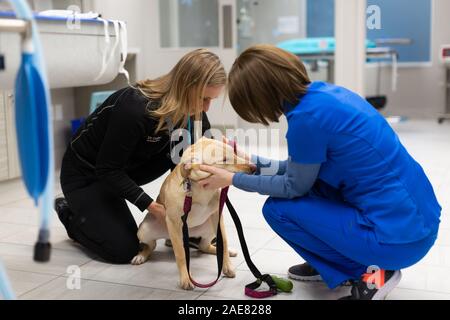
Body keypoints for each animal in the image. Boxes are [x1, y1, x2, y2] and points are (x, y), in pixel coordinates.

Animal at [132, 137, 255, 290]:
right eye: (224, 159)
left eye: (234, 151)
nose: (254, 168)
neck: (200, 188)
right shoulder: (173, 222)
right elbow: (180, 254)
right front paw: (186, 279)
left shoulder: (217, 215)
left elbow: (224, 242)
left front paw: (227, 267)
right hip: (145, 230)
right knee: (151, 246)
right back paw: (141, 256)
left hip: (209, 227)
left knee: (204, 246)